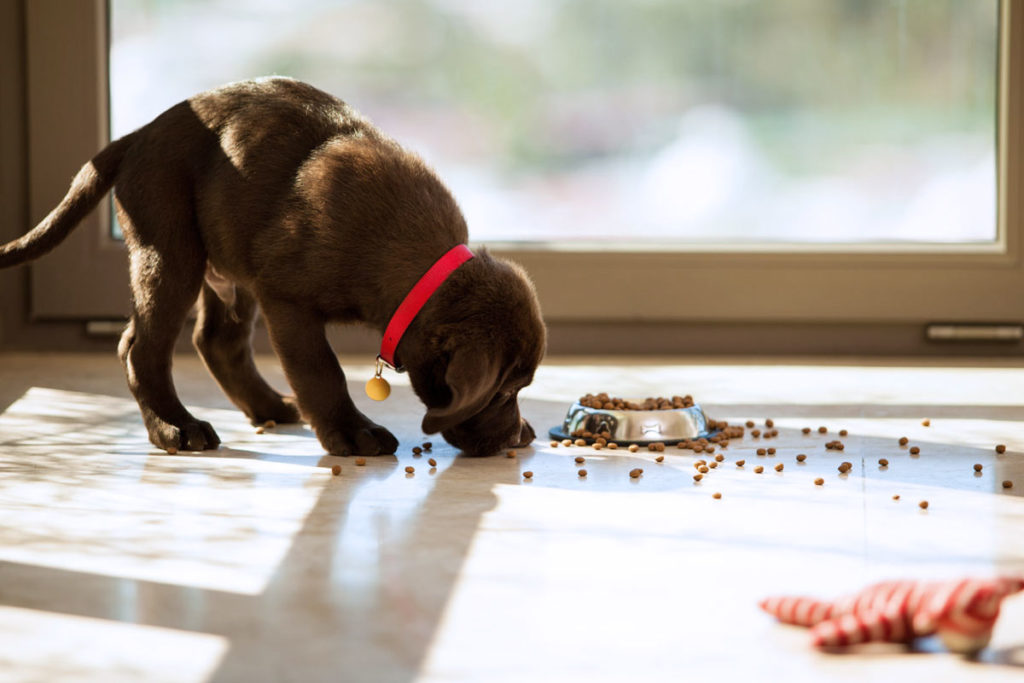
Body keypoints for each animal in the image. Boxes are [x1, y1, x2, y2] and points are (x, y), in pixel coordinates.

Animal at [2, 77, 544, 456]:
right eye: (503, 391)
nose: (518, 438)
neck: (415, 263)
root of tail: (138, 135)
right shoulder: (289, 301)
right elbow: (321, 370)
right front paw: (353, 432)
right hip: (171, 250)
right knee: (141, 347)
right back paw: (175, 428)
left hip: (228, 265)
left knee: (215, 341)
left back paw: (267, 408)